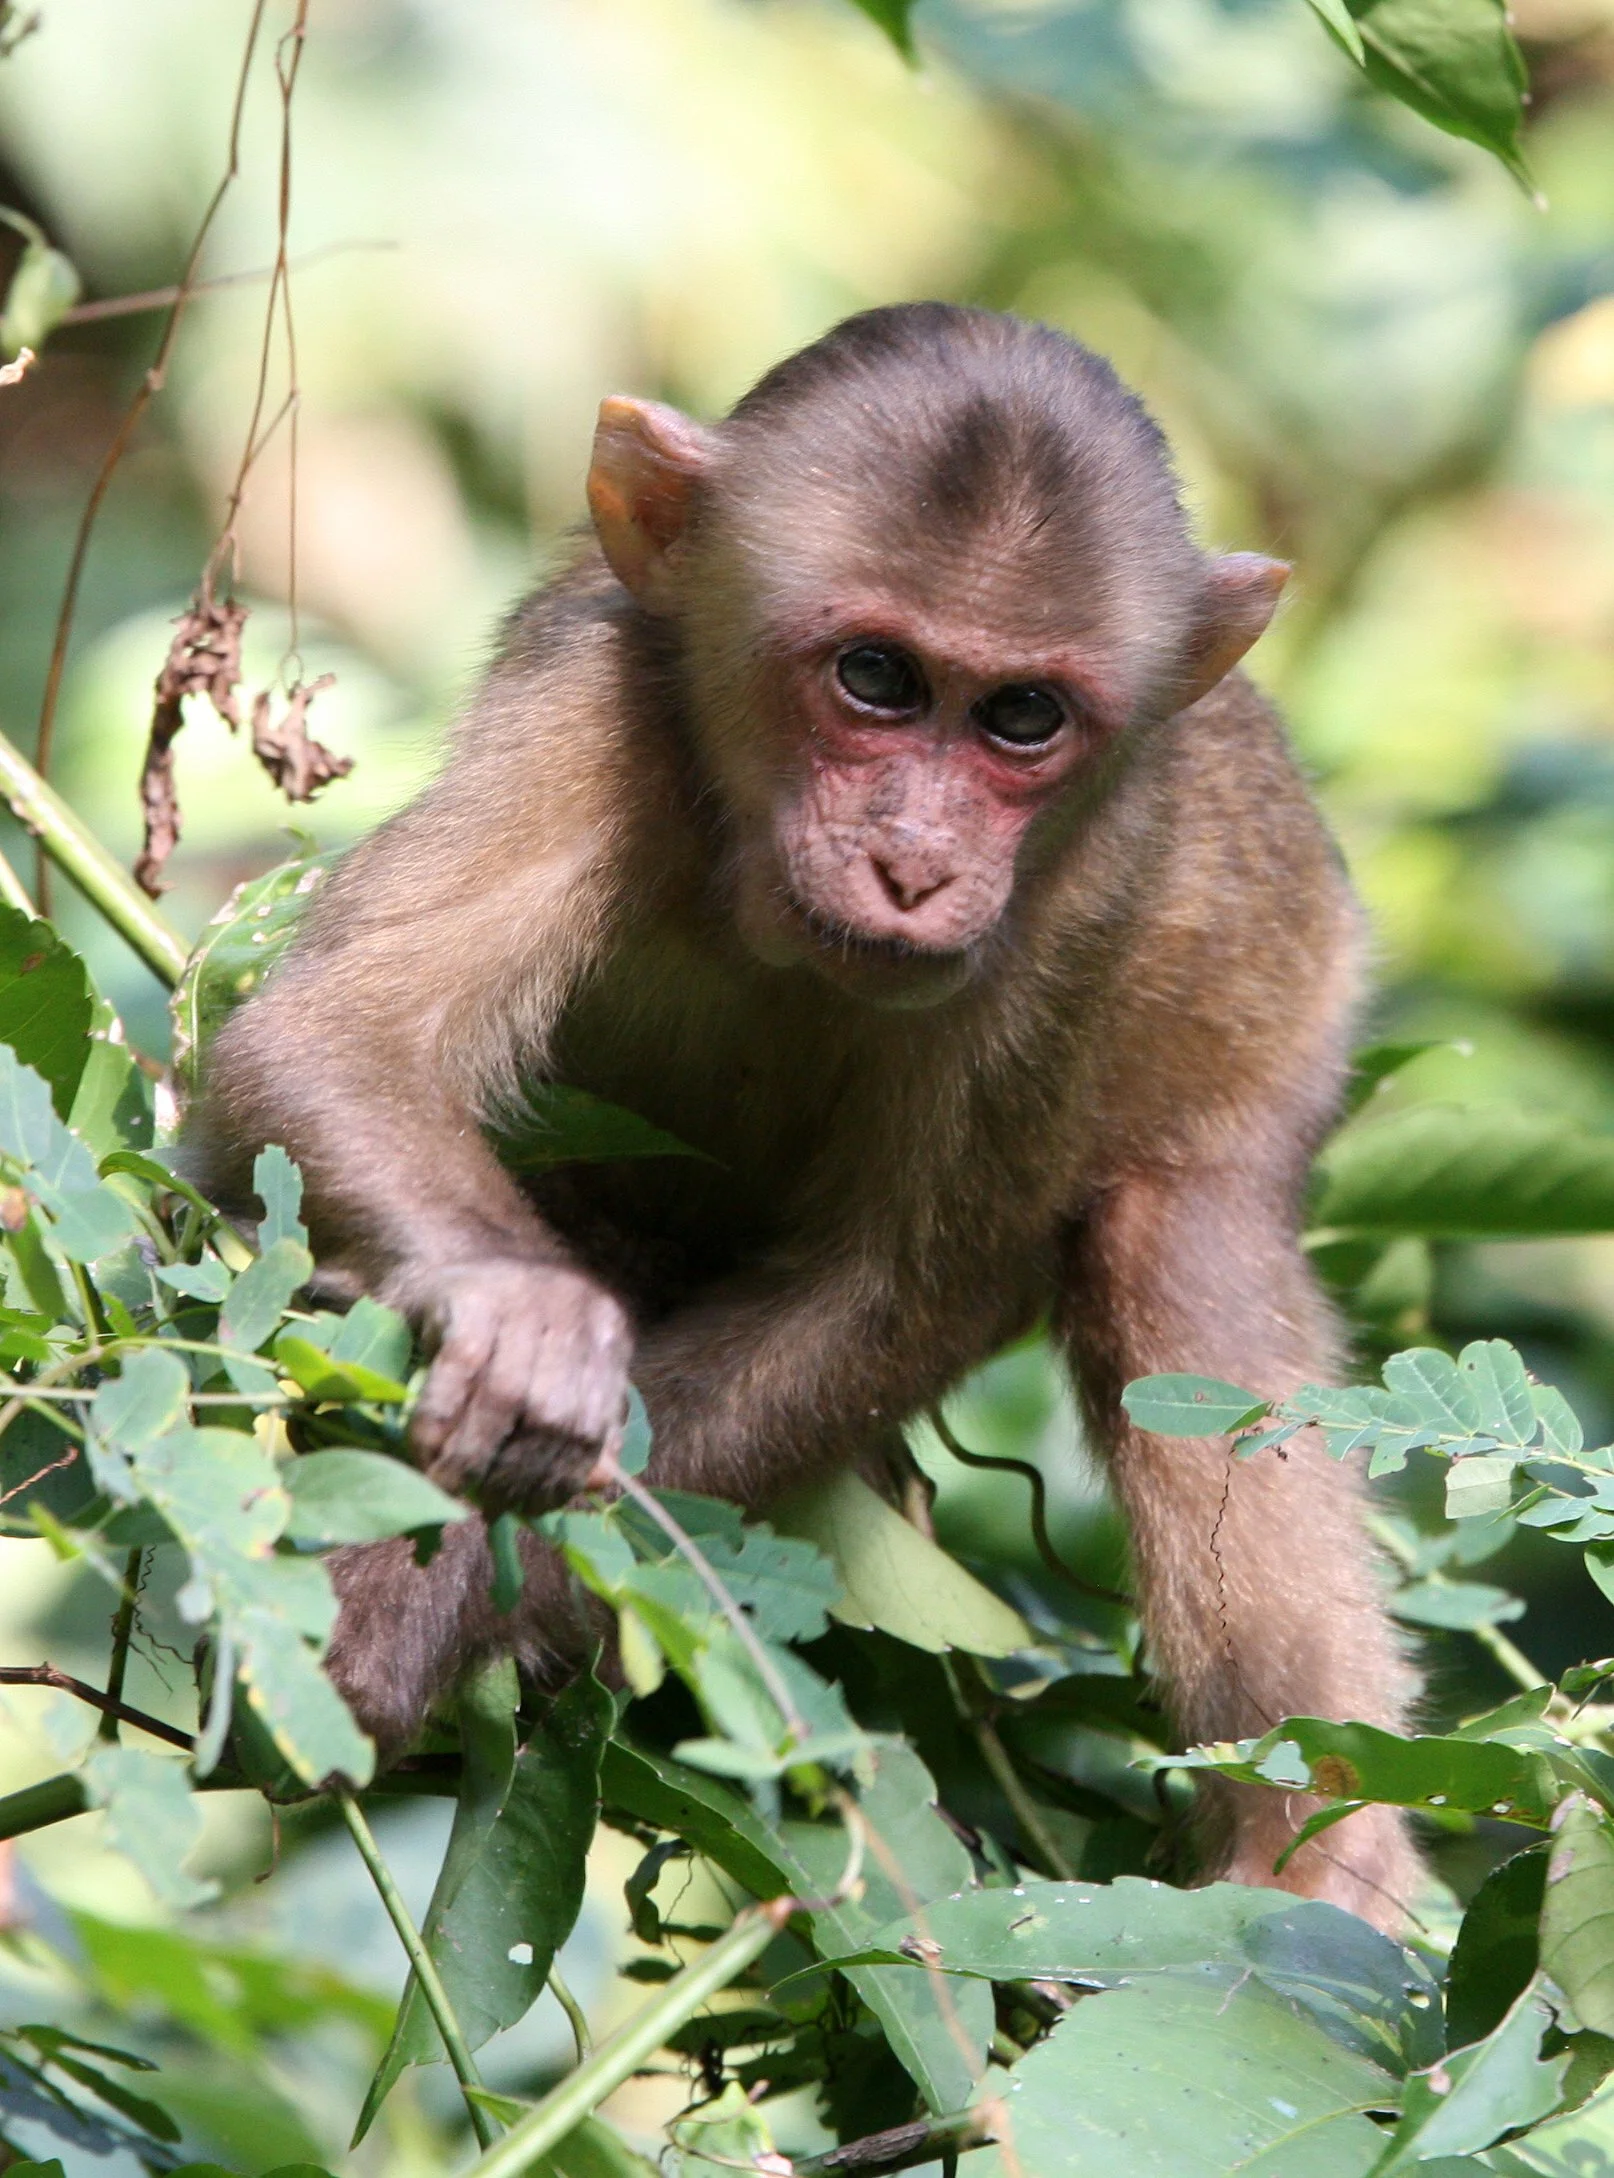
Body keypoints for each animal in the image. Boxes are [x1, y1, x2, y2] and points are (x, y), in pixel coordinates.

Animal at [193, 302, 1420, 1929]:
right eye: (876, 679)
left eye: (1022, 716)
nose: (914, 864)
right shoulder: (593, 701)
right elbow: (328, 1041)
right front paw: (524, 1321)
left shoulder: (1091, 884)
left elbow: (899, 1290)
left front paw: (425, 1597)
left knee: (1174, 1236)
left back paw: (1315, 1857)